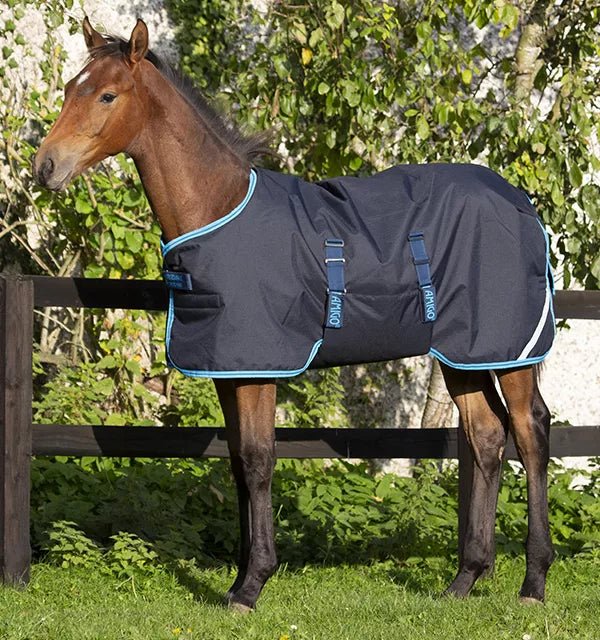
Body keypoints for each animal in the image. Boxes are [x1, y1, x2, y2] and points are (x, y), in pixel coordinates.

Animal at [33, 18, 554, 612]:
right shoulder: (230, 370)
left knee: (530, 433)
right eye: (70, 88)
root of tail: (522, 202)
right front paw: (239, 578)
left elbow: (260, 460)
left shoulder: (260, 369)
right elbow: (238, 464)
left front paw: (252, 584)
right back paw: (465, 579)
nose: (45, 166)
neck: (218, 208)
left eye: (107, 95)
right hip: (462, 354)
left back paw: (533, 582)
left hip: (510, 351)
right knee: (486, 437)